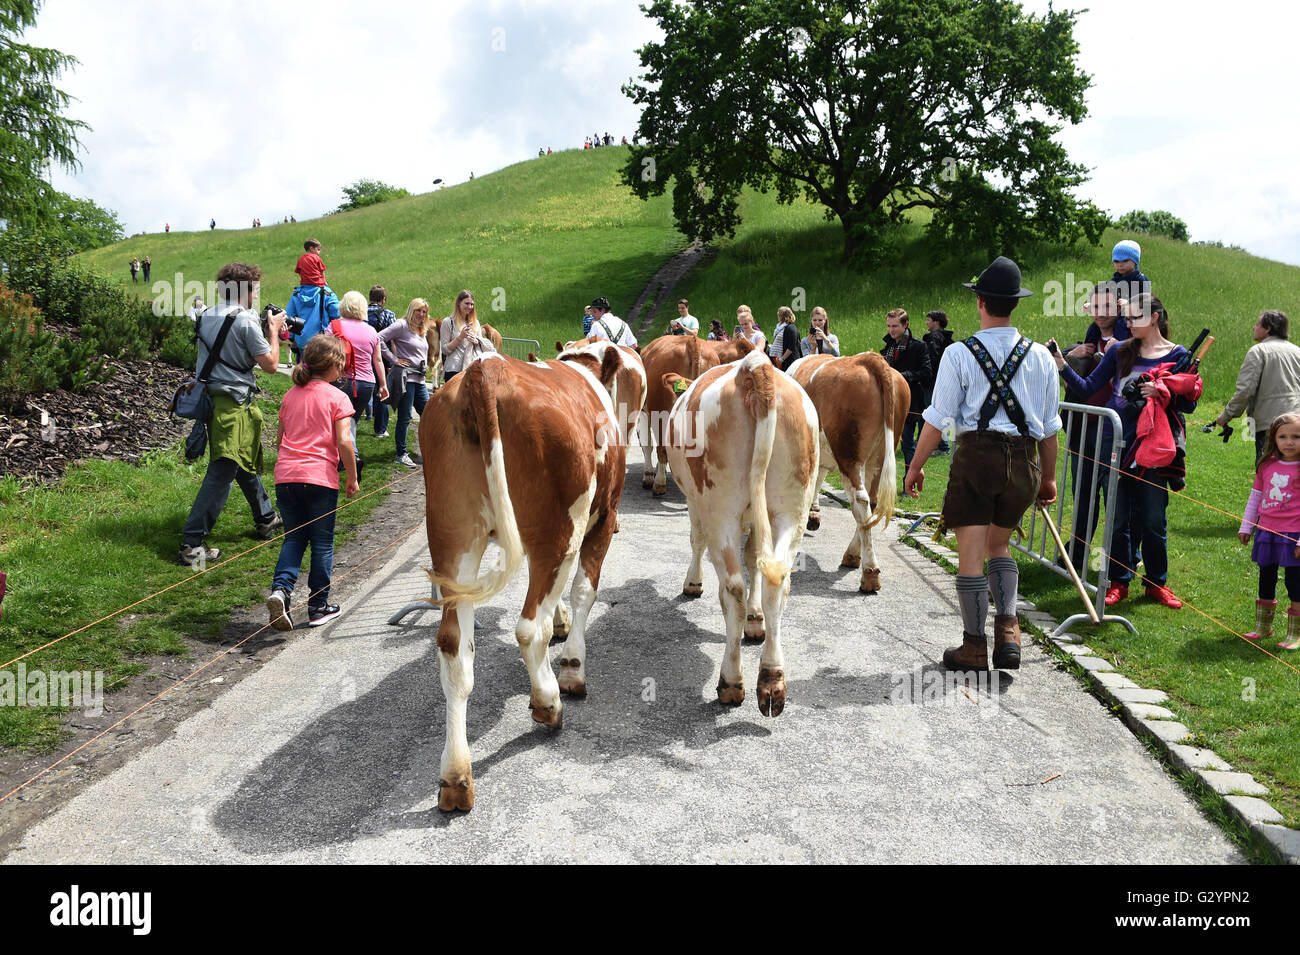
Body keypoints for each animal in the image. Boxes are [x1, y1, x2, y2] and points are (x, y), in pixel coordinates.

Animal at [418, 348, 626, 812]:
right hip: (558, 528)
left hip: (453, 538)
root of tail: (485, 370)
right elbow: (584, 591)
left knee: (454, 648)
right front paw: (572, 667)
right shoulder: (603, 517)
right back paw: (548, 701)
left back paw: (455, 776)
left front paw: (563, 625)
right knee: (530, 627)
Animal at [640, 333, 755, 495]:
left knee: (662, 448)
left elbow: (647, 444)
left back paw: (659, 484)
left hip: (660, 411)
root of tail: (692, 341)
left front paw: (649, 476)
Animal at [664, 349, 820, 717]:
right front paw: (756, 619)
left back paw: (731, 681)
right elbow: (755, 560)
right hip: (792, 507)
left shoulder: (696, 504)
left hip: (720, 508)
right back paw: (772, 681)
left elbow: (697, 541)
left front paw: (693, 583)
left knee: (733, 587)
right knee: (779, 580)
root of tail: (755, 365)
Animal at [789, 351, 908, 593]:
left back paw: (870, 572)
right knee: (870, 503)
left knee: (860, 501)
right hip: (879, 457)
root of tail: (869, 358)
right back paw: (853, 555)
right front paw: (813, 515)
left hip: (848, 454)